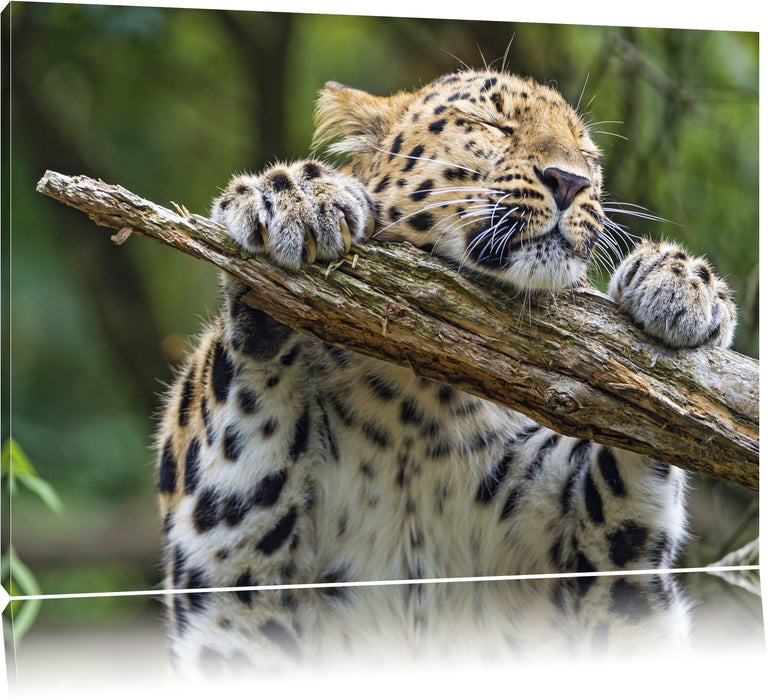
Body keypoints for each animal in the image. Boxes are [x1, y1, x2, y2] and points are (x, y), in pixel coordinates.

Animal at [154, 68, 737, 677]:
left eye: (589, 155)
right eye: (492, 124)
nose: (571, 181)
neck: (421, 400)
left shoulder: (609, 578)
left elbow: (634, 452)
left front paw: (678, 285)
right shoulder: (229, 578)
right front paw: (292, 199)